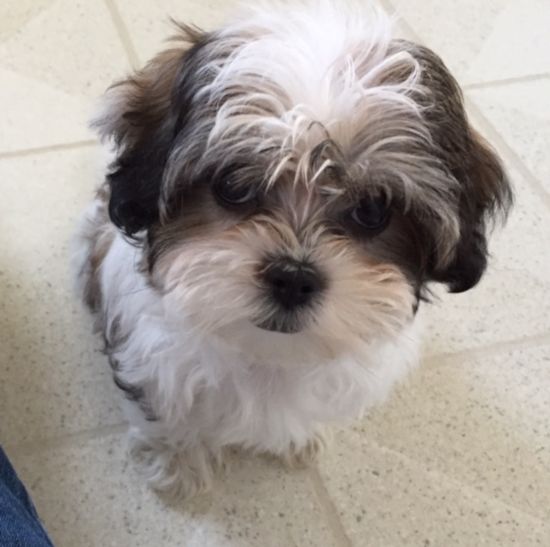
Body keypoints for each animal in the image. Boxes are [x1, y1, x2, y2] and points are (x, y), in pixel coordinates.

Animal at [72, 1, 512, 500]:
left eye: (372, 209)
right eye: (233, 186)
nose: (294, 277)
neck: (269, 354)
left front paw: (296, 437)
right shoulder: (152, 361)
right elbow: (169, 413)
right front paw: (179, 463)